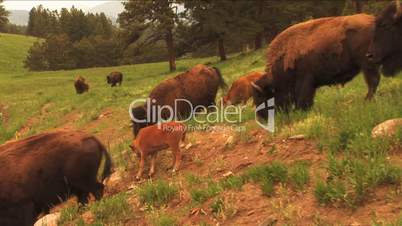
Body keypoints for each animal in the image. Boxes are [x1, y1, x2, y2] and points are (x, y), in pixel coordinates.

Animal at [251, 13, 380, 115]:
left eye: (262, 97)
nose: (261, 117)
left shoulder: (304, 82)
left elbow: (303, 98)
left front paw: (301, 111)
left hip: (368, 64)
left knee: (372, 82)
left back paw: (367, 100)